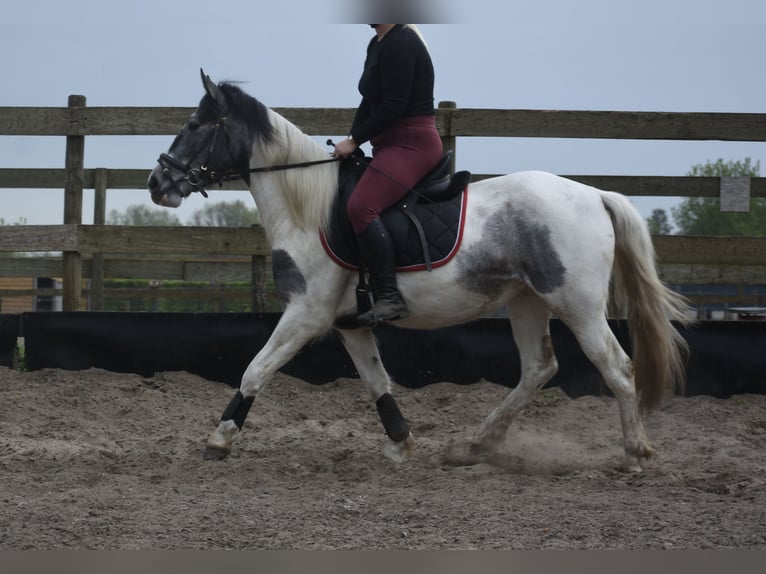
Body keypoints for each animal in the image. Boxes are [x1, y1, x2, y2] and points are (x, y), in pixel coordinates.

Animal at [148, 70, 690, 472]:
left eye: (194, 125)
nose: (157, 183)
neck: (309, 208)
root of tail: (594, 194)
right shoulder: (348, 323)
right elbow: (377, 382)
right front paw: (400, 443)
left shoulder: (305, 313)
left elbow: (255, 369)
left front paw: (219, 439)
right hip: (526, 302)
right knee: (539, 368)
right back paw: (476, 446)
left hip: (577, 303)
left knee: (616, 367)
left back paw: (634, 455)